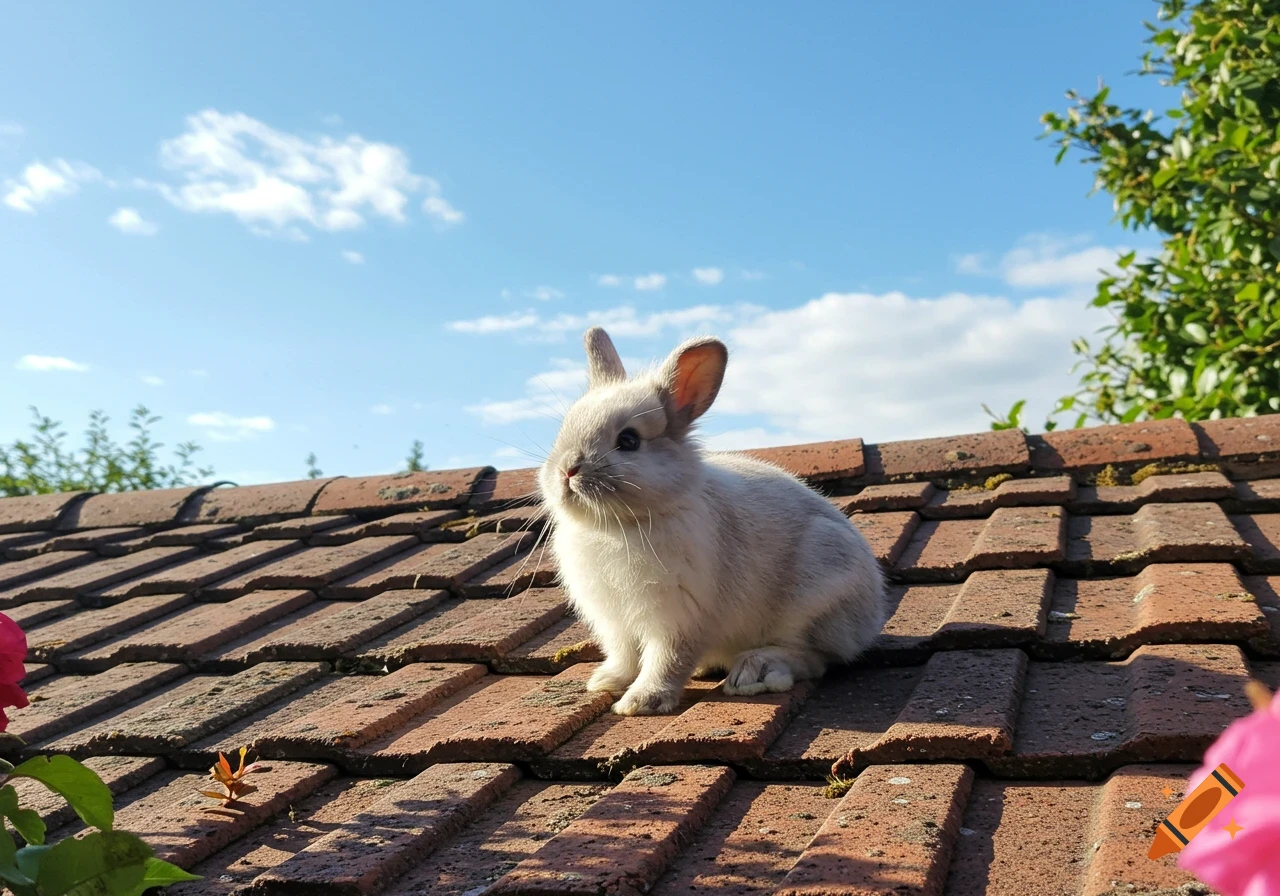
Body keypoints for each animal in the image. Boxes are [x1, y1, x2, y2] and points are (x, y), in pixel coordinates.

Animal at [537, 326, 887, 716]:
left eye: (629, 440)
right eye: (563, 429)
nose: (568, 471)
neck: (617, 525)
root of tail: (872, 615)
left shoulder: (679, 619)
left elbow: (666, 660)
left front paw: (642, 702)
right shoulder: (616, 624)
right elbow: (625, 656)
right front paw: (605, 682)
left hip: (816, 596)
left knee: (814, 658)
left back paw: (756, 671)